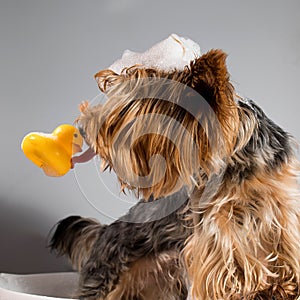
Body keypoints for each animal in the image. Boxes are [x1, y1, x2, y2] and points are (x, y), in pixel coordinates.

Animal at [50, 45, 300, 298]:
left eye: (126, 110)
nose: (82, 128)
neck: (240, 162)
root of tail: (102, 232)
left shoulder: (283, 202)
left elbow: (286, 243)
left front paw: (285, 285)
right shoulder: (215, 219)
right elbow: (228, 255)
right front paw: (251, 288)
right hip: (107, 274)